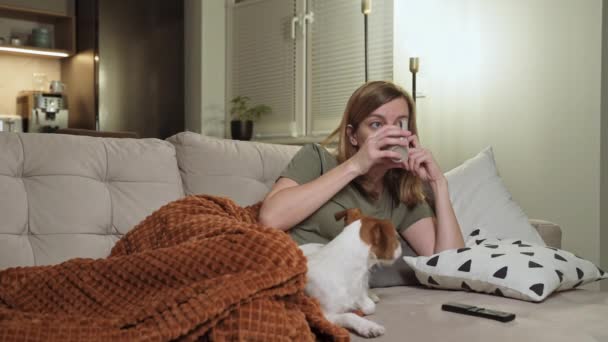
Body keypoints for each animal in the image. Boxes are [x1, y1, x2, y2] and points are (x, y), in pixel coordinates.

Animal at [300, 208, 404, 336]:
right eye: (397, 238)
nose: (401, 248)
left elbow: (369, 306)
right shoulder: (324, 315)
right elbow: (349, 315)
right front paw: (368, 326)